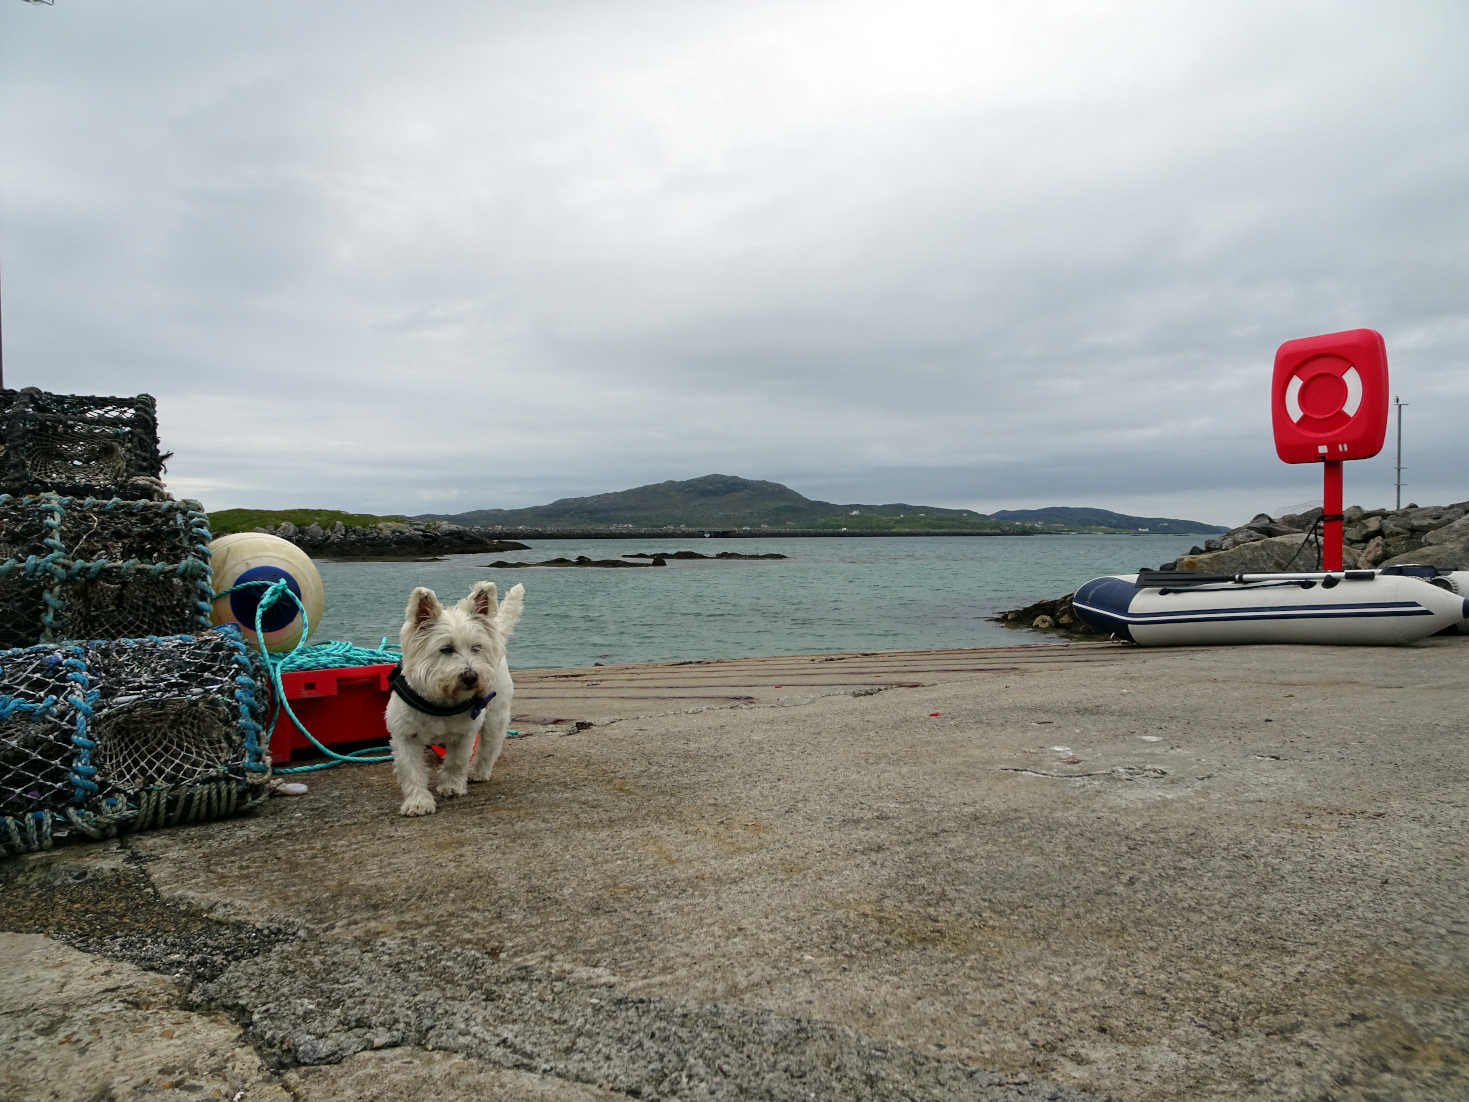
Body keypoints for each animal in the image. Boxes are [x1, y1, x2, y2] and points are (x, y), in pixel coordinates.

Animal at [387, 581, 525, 816]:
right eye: (446, 649)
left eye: (476, 647)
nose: (471, 677)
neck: (440, 702)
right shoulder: (405, 736)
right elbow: (411, 770)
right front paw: (418, 802)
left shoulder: (464, 733)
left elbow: (457, 761)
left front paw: (451, 786)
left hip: (496, 716)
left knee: (490, 746)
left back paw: (479, 772)